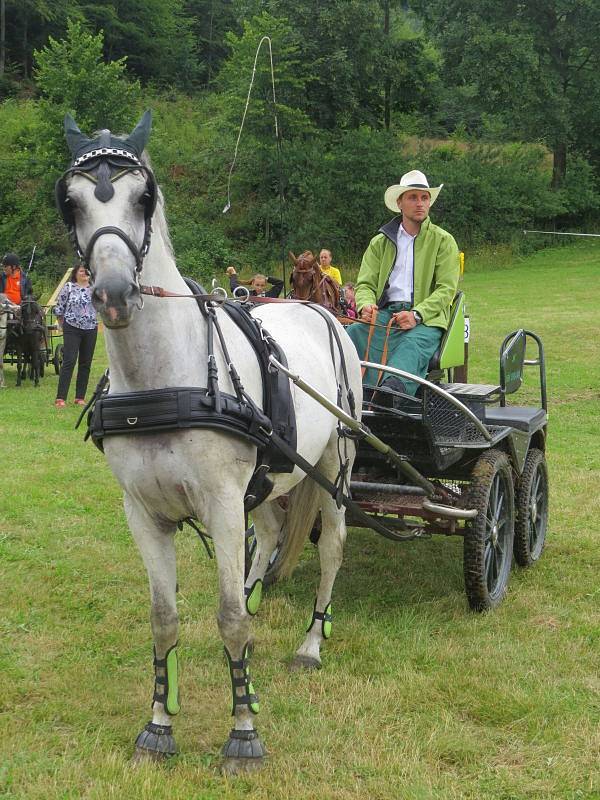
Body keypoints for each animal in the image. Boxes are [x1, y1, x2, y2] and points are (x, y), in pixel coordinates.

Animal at [58, 109, 364, 772]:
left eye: (144, 197)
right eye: (70, 203)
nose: (113, 295)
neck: (164, 377)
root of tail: (321, 310)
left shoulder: (222, 503)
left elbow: (227, 619)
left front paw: (244, 733)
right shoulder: (144, 512)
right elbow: (164, 618)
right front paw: (158, 726)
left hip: (335, 463)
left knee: (331, 549)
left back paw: (311, 641)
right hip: (270, 479)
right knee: (270, 532)